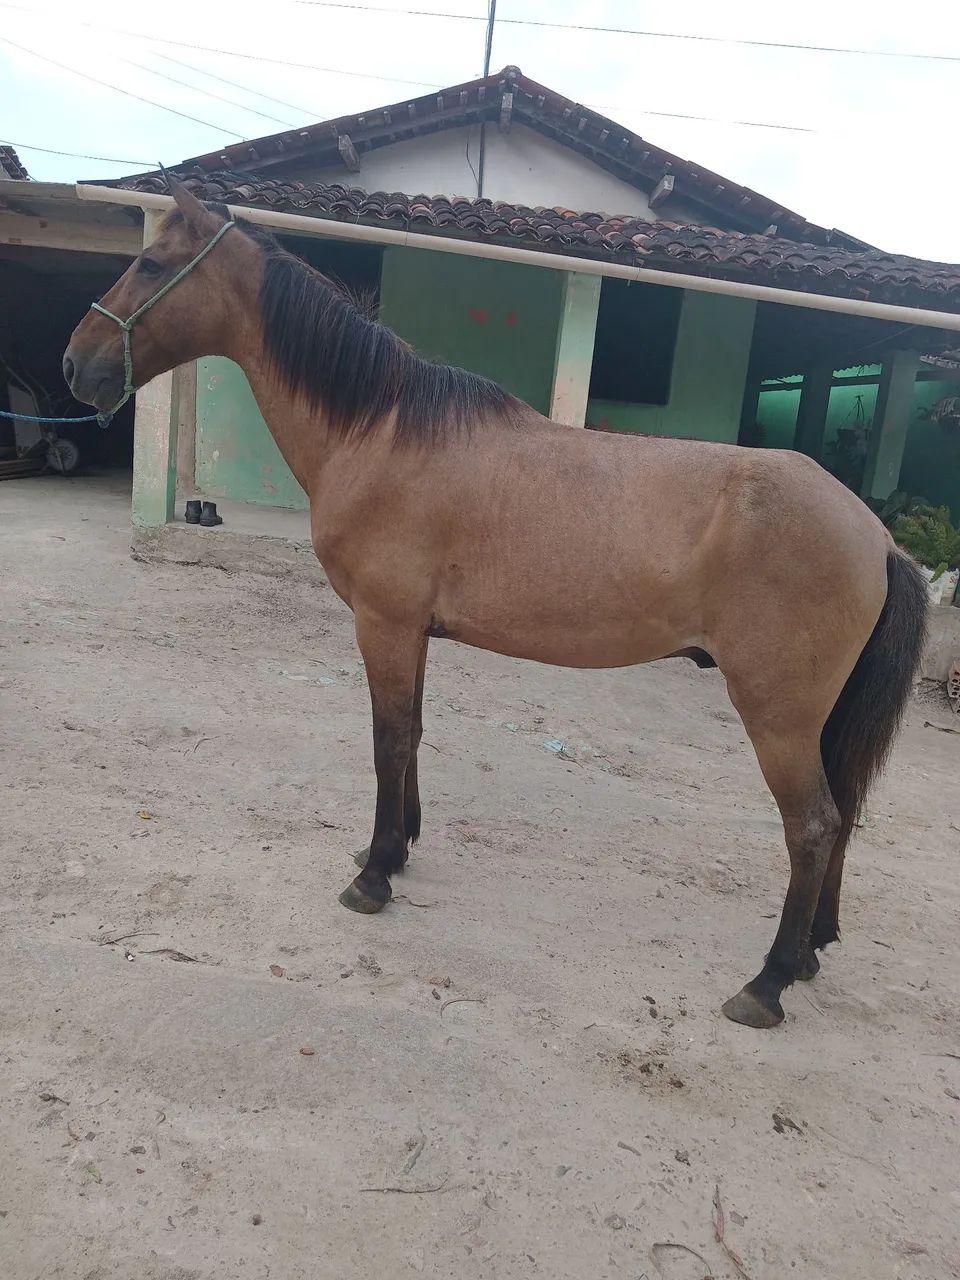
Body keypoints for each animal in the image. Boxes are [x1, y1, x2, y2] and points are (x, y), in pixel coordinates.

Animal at [63, 179, 928, 1029]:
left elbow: (387, 739)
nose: (75, 365)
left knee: (812, 825)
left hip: (778, 715)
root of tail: (879, 535)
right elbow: (412, 734)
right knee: (844, 812)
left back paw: (768, 982)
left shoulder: (383, 623)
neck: (379, 432)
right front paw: (393, 849)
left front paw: (373, 879)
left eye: (148, 264)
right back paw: (811, 951)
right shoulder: (413, 631)